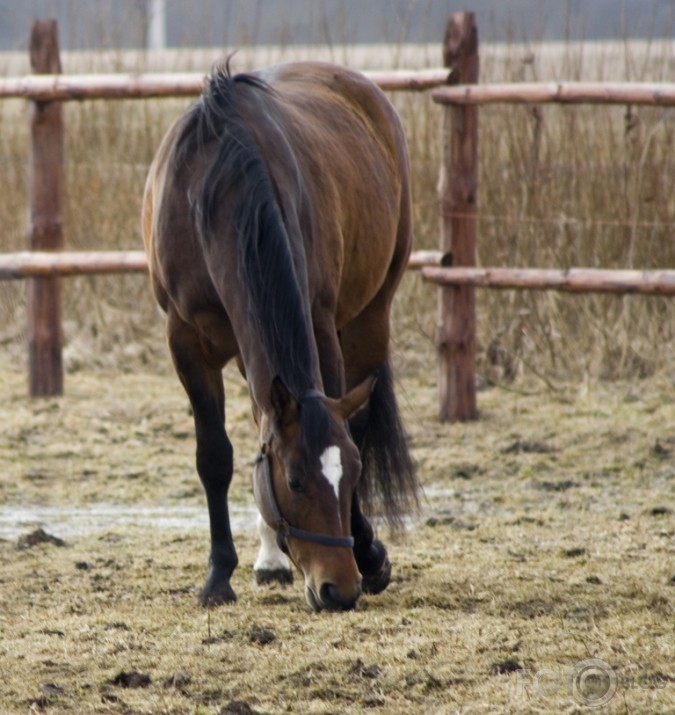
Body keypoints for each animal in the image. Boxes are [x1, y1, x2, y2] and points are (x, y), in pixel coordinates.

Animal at [142, 60, 418, 608]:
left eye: (353, 472)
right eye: (294, 481)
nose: (339, 589)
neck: (220, 190)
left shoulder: (320, 327)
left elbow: (342, 424)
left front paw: (371, 553)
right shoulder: (186, 342)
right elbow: (216, 456)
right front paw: (218, 576)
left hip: (371, 316)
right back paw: (269, 559)